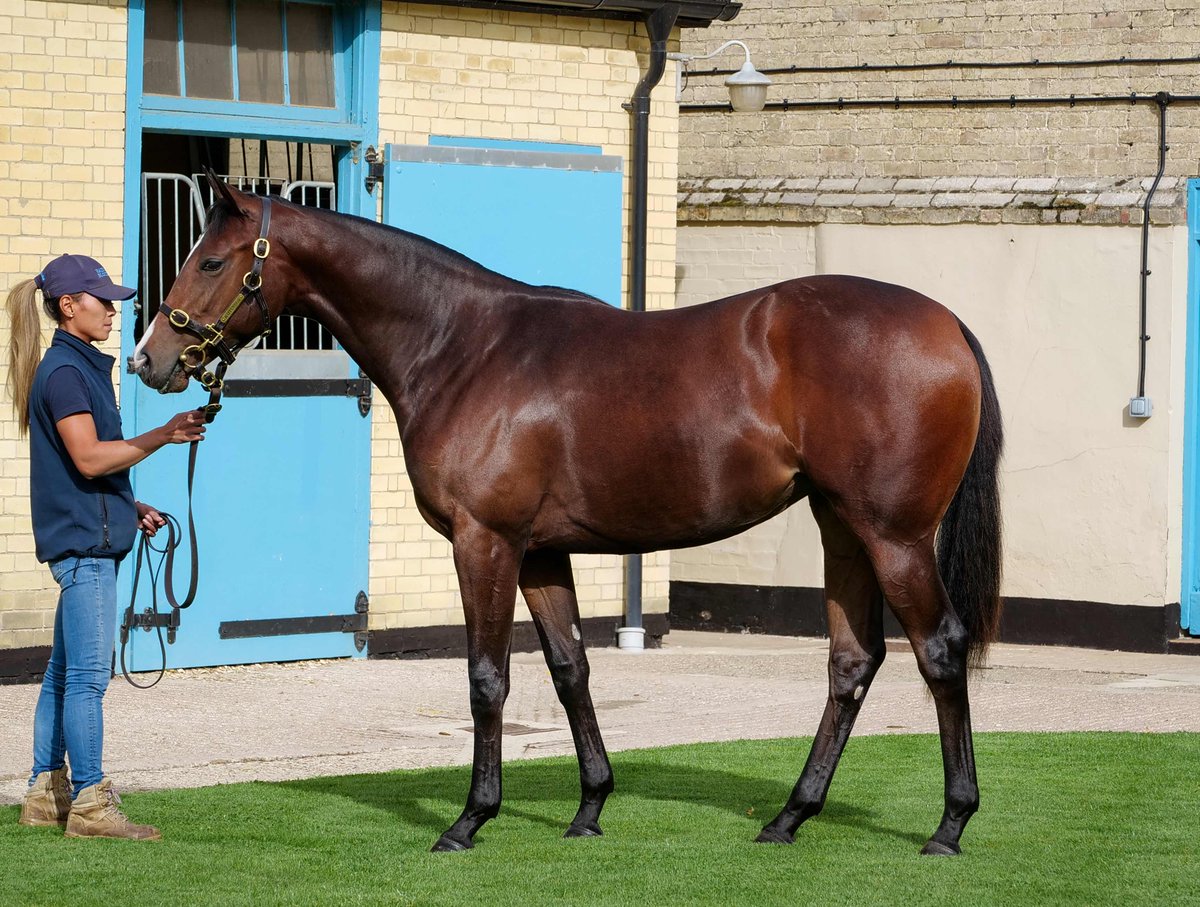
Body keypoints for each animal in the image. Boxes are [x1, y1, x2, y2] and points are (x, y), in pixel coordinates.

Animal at [129, 171, 1003, 859]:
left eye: (211, 260)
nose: (148, 359)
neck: (464, 346)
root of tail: (948, 324)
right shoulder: (542, 552)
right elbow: (569, 666)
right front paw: (589, 808)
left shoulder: (485, 542)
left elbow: (488, 676)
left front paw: (469, 819)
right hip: (841, 526)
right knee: (853, 661)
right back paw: (790, 815)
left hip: (892, 536)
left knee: (940, 649)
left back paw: (951, 823)